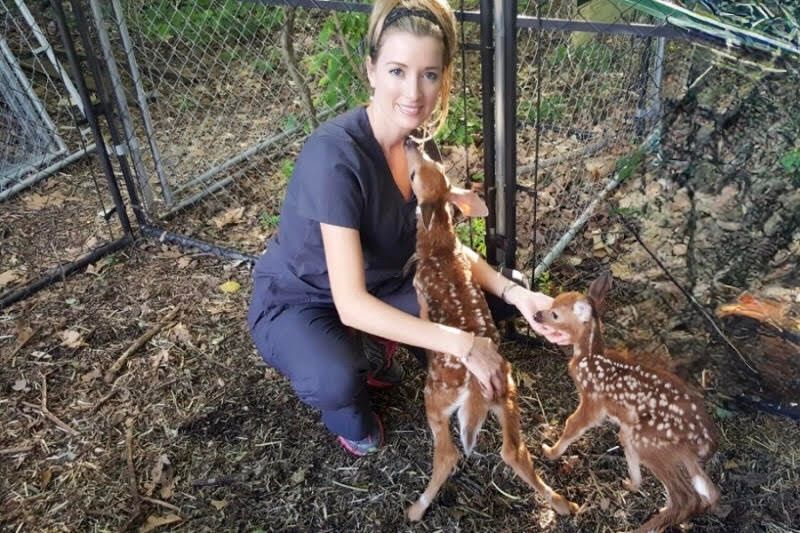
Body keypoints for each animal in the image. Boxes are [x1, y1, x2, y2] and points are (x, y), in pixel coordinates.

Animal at [403, 139, 578, 522]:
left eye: (413, 175)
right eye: (437, 167)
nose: (411, 141)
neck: (440, 246)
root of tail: (475, 386)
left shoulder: (420, 294)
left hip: (436, 396)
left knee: (449, 454)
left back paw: (416, 508)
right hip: (507, 392)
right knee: (514, 451)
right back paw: (563, 504)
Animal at [533, 272, 720, 533]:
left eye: (555, 314)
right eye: (552, 304)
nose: (537, 315)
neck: (589, 358)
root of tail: (708, 441)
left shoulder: (593, 400)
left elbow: (572, 424)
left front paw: (549, 450)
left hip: (650, 440)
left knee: (686, 496)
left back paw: (646, 526)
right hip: (663, 446)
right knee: (708, 493)